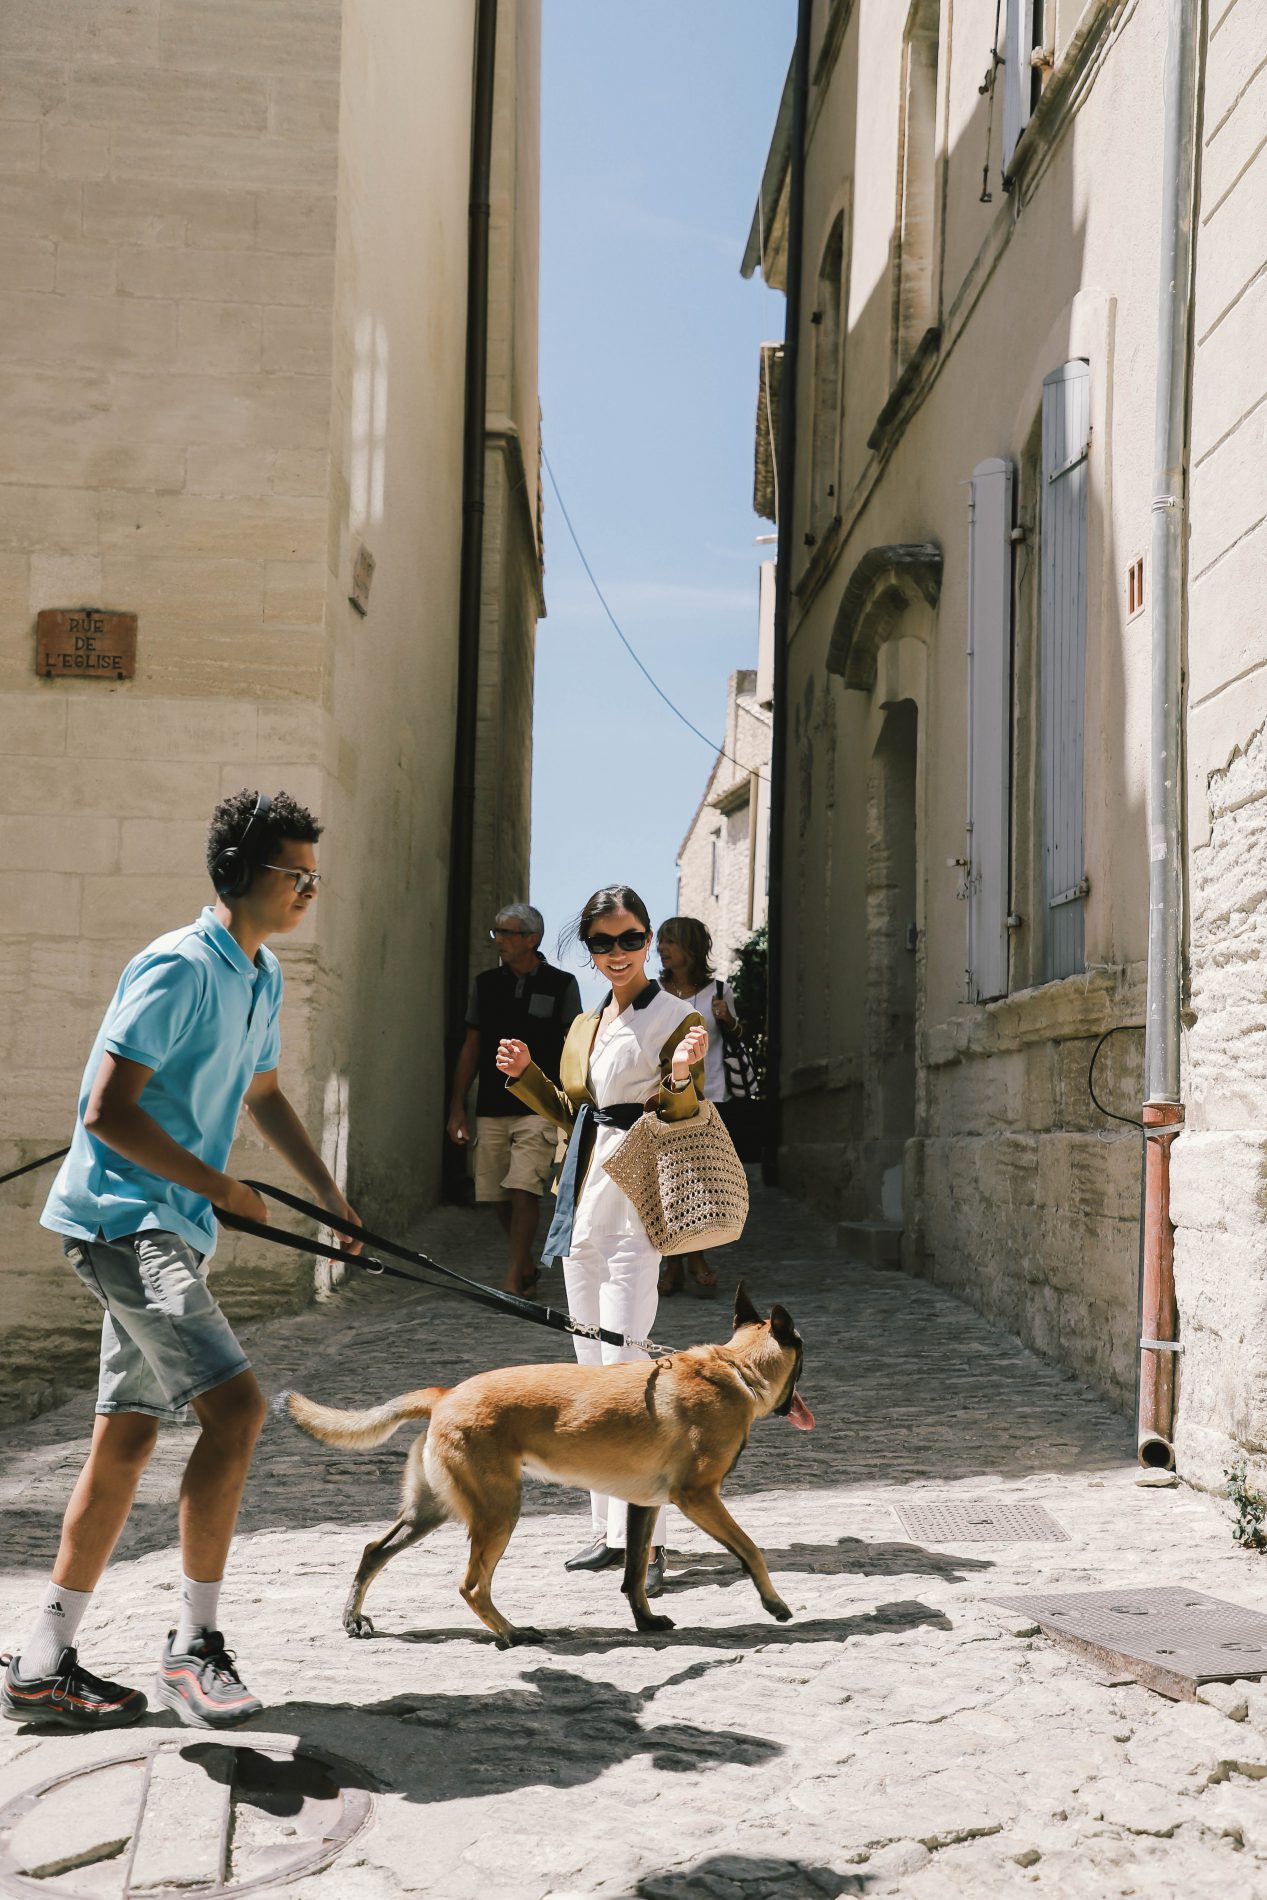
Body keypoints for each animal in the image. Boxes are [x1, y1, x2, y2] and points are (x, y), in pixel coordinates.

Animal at [279, 1292, 813, 1649]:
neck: (737, 1369)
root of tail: (445, 1395)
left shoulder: (642, 1505)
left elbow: (635, 1574)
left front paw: (645, 1621)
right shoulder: (699, 1497)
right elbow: (751, 1549)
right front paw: (775, 1604)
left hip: (432, 1511)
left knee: (374, 1551)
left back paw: (354, 1619)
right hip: (499, 1512)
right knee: (471, 1584)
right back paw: (511, 1632)